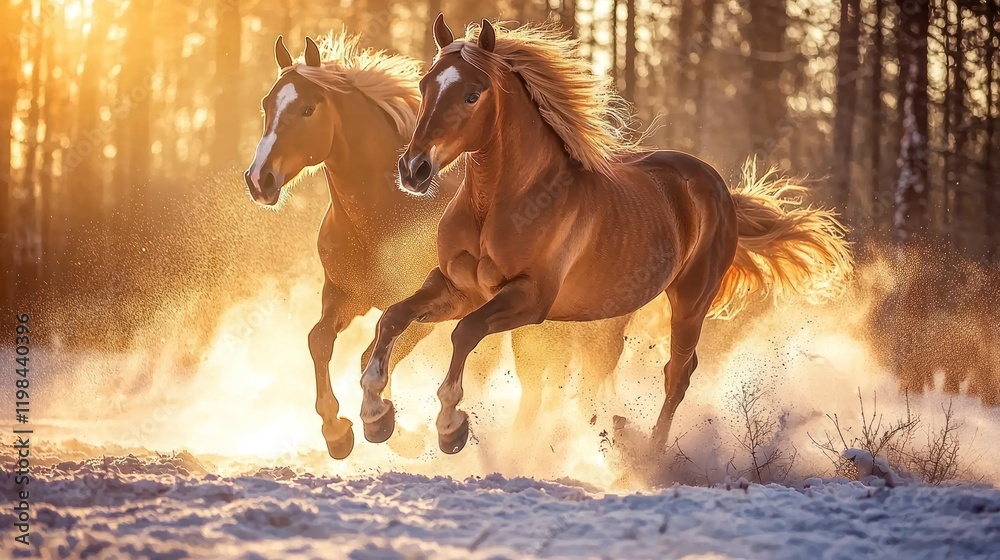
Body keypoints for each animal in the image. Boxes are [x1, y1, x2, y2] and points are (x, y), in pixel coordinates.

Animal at [244, 32, 630, 459]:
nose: (259, 179)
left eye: (308, 109)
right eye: (267, 104)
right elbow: (320, 342)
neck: (383, 217)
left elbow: (369, 354)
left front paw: (391, 427)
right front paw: (338, 432)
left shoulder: (429, 309)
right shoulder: (344, 296)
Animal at [358, 17, 853, 455]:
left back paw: (648, 457)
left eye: (472, 95)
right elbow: (394, 318)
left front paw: (450, 427)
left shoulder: (529, 300)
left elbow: (464, 334)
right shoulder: (458, 288)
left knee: (677, 373)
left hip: (691, 300)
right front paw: (375, 415)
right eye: (425, 84)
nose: (414, 169)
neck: (502, 203)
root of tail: (716, 187)